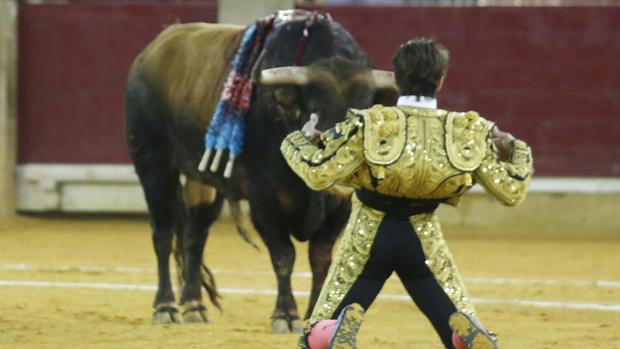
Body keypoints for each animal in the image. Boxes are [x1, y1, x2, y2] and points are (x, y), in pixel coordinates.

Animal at [124, 10, 400, 332]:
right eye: (318, 103)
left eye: (367, 105)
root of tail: (152, 51)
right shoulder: (264, 199)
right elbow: (283, 255)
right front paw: (286, 315)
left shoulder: (340, 205)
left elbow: (320, 257)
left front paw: (315, 316)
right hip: (153, 163)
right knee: (163, 233)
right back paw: (165, 306)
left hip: (204, 179)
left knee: (195, 234)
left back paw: (194, 306)